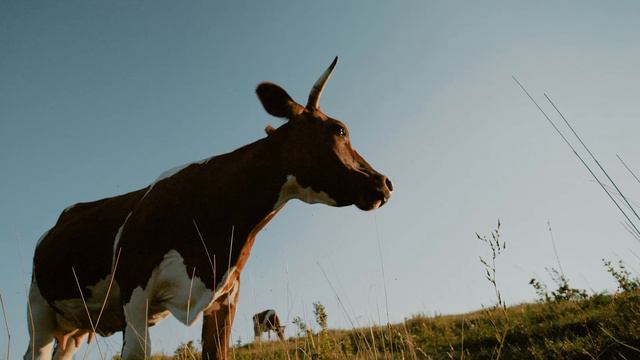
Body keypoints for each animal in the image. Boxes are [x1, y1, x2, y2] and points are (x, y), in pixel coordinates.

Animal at [25, 57, 390, 360]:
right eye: (339, 129)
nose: (384, 183)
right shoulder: (134, 286)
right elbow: (137, 352)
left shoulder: (225, 297)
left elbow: (218, 352)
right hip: (38, 309)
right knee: (37, 351)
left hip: (75, 326)